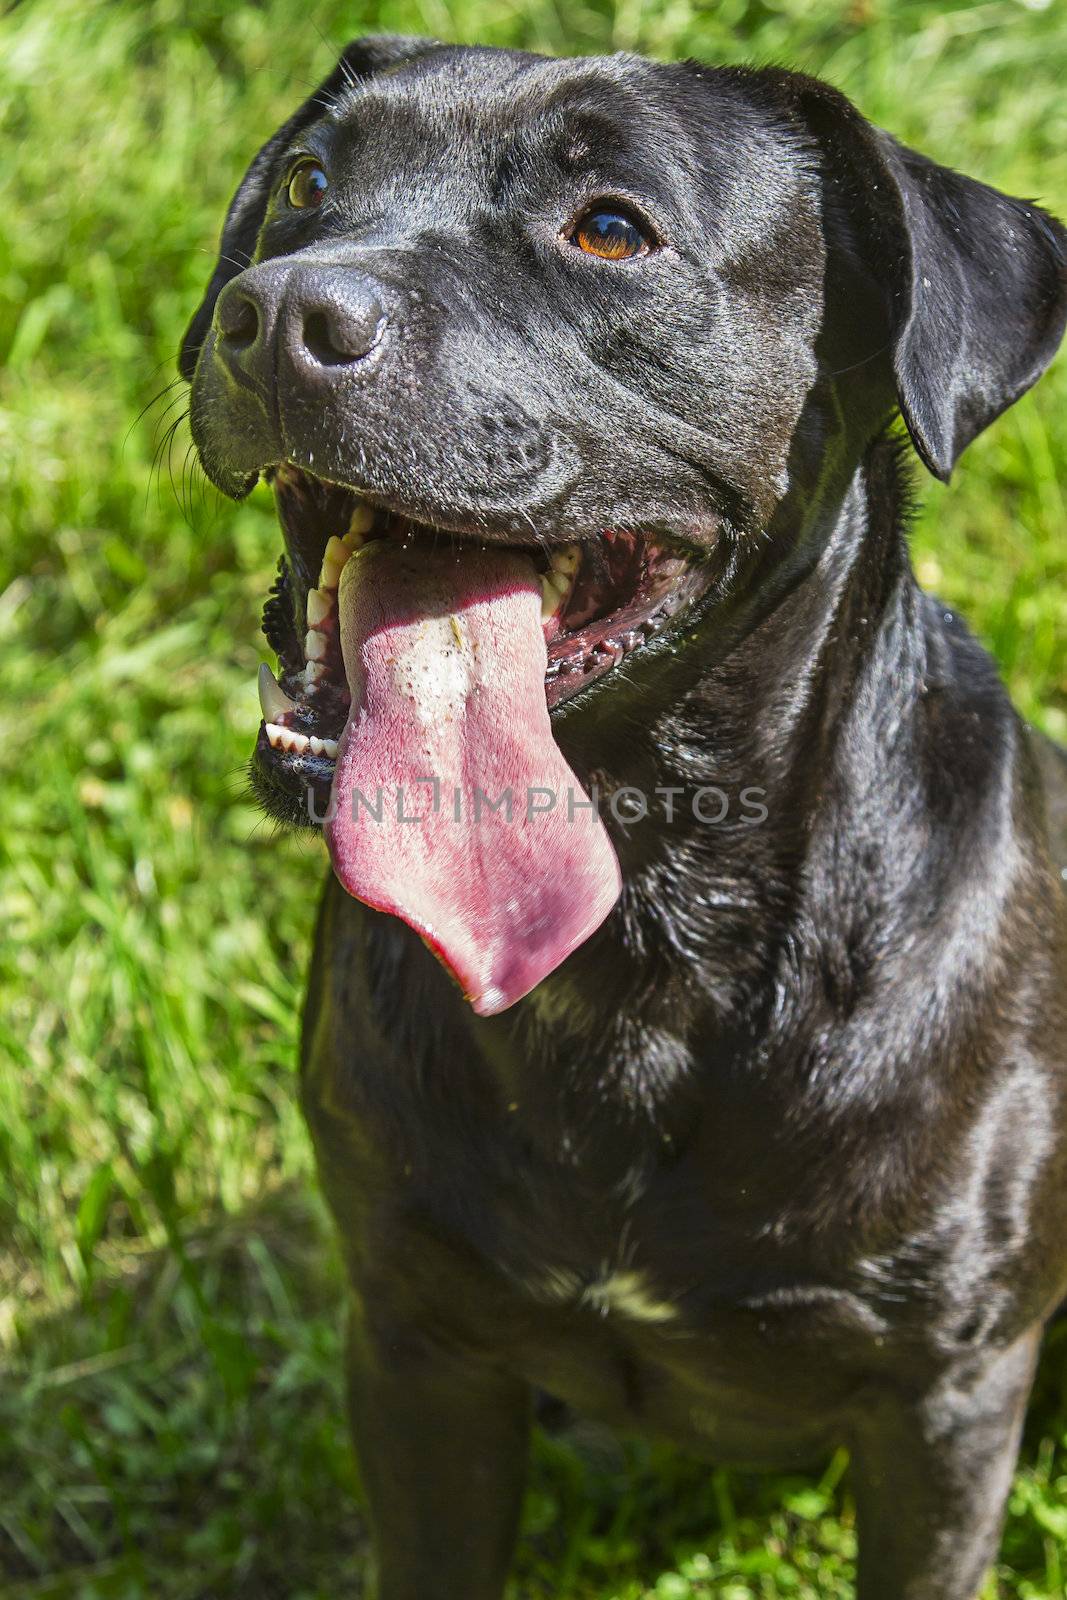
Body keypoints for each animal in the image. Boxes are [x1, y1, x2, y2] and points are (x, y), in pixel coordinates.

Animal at [183, 37, 1067, 1600]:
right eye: (306, 185)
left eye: (607, 229)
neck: (642, 930)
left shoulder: (944, 1400)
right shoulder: (417, 1344)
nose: (276, 310)